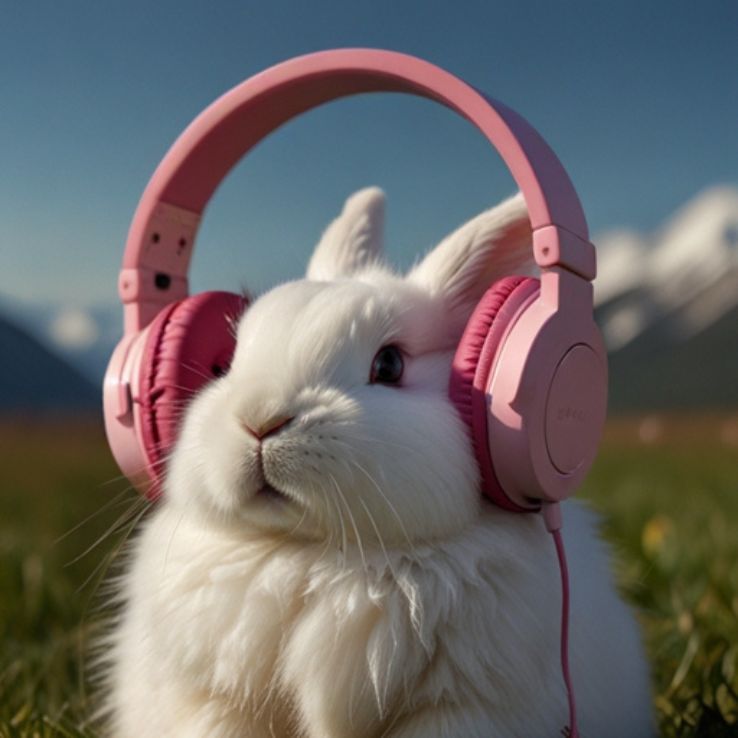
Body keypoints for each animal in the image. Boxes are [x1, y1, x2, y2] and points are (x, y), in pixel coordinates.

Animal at [98, 188, 654, 738]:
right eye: (226, 363)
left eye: (389, 365)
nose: (259, 420)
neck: (319, 555)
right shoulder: (213, 704)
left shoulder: (460, 710)